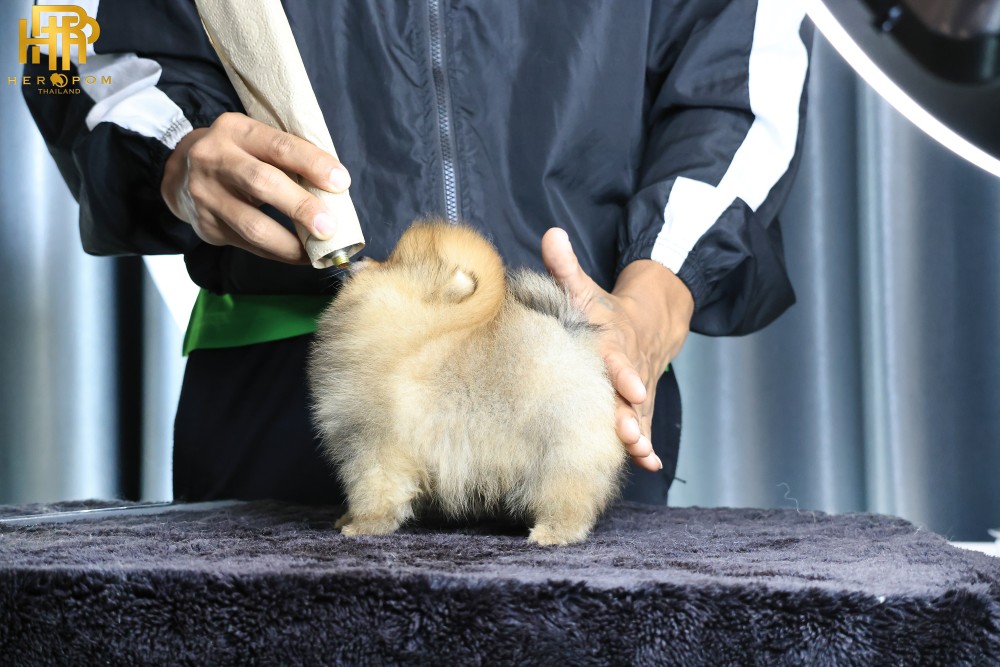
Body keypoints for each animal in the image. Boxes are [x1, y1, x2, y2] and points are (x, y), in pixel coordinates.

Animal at [308, 220, 625, 545]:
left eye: (389, 263)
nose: (360, 258)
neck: (411, 334)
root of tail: (573, 340)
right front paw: (348, 518)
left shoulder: (376, 447)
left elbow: (374, 490)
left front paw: (364, 525)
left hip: (560, 451)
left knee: (569, 494)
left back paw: (552, 532)